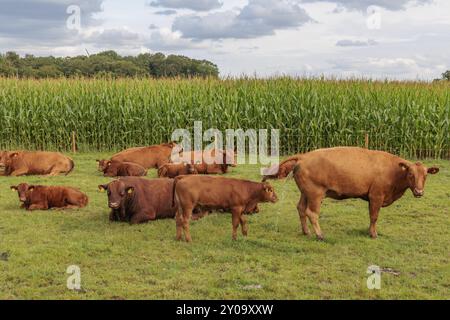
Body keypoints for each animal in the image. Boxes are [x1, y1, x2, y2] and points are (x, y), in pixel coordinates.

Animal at [292, 148, 440, 240]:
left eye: (426, 175)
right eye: (410, 174)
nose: (419, 192)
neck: (394, 171)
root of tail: (303, 156)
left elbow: (371, 216)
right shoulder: (376, 196)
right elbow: (374, 216)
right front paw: (373, 234)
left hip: (306, 193)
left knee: (301, 208)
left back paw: (306, 231)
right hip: (315, 194)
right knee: (312, 213)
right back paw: (320, 235)